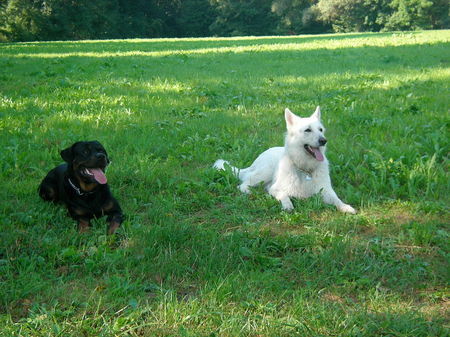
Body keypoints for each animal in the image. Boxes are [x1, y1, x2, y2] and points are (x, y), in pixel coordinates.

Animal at [213, 106, 356, 214]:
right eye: (307, 130)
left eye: (320, 130)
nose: (323, 140)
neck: (304, 169)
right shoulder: (275, 189)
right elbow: (284, 196)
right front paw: (288, 205)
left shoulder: (326, 191)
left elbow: (337, 200)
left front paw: (346, 207)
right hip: (265, 172)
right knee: (243, 184)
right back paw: (249, 191)